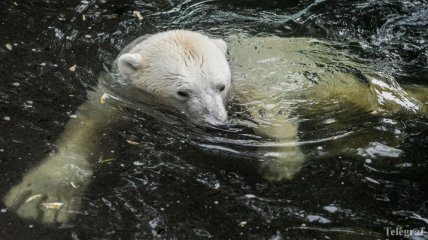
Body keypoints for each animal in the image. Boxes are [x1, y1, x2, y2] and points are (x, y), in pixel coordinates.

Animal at [3, 31, 424, 224]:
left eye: (220, 85)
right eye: (182, 91)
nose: (216, 122)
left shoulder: (251, 82)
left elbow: (273, 115)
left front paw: (280, 165)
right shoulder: (120, 90)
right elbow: (89, 121)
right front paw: (44, 195)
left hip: (331, 78)